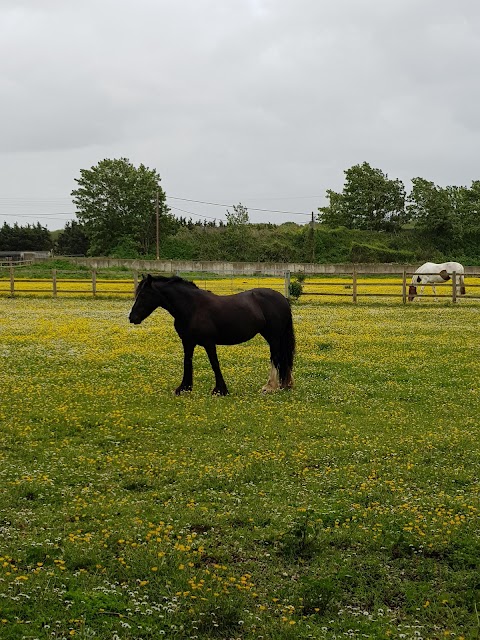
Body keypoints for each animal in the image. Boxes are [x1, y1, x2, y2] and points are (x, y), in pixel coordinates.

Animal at [127, 276, 294, 396]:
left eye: (144, 295)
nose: (132, 317)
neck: (192, 307)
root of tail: (283, 299)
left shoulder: (209, 342)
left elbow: (214, 364)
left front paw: (220, 390)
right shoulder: (187, 342)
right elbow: (187, 362)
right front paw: (184, 388)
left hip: (273, 337)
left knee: (276, 357)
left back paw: (270, 387)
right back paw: (284, 385)